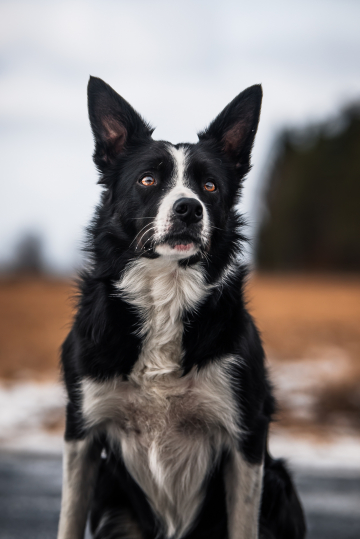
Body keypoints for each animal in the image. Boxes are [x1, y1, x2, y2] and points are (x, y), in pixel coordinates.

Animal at [57, 77, 306, 539]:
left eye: (209, 187)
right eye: (148, 179)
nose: (189, 208)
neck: (165, 294)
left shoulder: (247, 435)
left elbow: (243, 522)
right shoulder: (81, 430)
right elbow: (69, 517)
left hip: (279, 480)